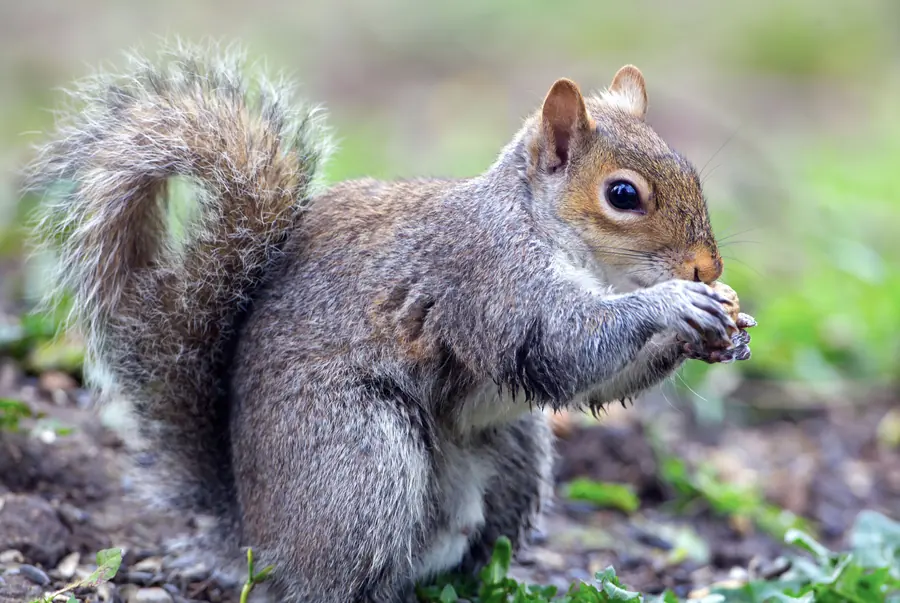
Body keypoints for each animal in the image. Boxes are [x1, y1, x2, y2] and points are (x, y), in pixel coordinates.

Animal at [25, 43, 754, 602]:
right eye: (623, 195)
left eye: (691, 171)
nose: (705, 265)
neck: (544, 228)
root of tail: (258, 540)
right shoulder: (486, 277)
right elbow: (563, 347)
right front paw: (674, 305)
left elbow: (595, 383)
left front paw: (724, 322)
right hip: (360, 459)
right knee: (337, 578)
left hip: (514, 455)